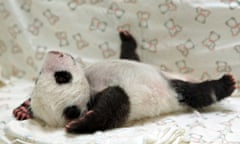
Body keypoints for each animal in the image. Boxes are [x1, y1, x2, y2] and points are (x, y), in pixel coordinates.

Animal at [12, 31, 235, 134]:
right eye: (62, 77)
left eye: (39, 76)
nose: (55, 53)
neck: (90, 85)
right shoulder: (117, 101)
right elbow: (116, 104)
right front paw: (81, 124)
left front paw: (23, 109)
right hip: (173, 91)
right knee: (198, 94)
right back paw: (226, 84)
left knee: (130, 56)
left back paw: (126, 38)